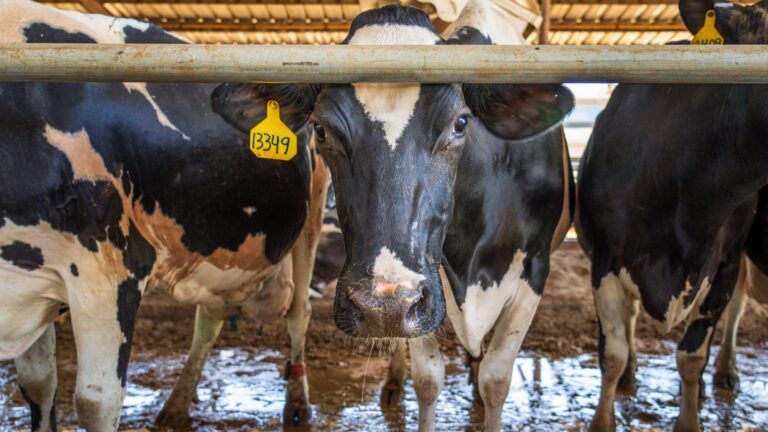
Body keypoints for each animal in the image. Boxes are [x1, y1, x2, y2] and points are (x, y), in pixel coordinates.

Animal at [0, 0, 328, 430]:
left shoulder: (110, 269)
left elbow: (96, 400)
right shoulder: (33, 278)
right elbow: (38, 384)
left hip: (313, 216)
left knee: (299, 313)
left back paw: (298, 405)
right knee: (209, 320)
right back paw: (176, 404)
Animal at [212, 3, 574, 430]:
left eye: (460, 123)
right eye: (321, 129)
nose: (382, 305)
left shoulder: (534, 269)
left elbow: (496, 379)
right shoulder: (429, 288)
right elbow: (429, 379)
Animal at [576, 1, 768, 431]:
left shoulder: (726, 262)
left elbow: (692, 355)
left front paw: (690, 418)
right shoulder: (606, 260)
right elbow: (612, 352)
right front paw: (603, 419)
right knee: (629, 320)